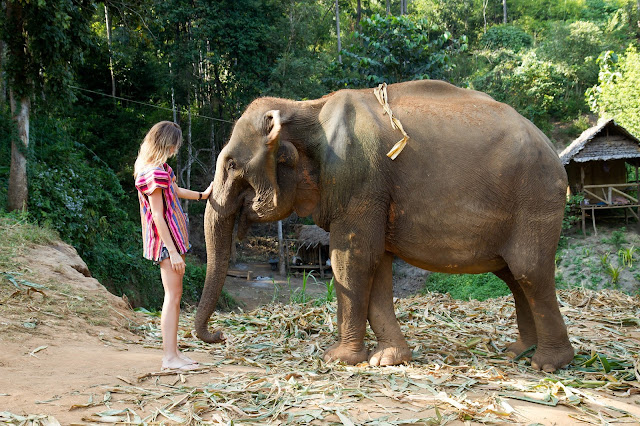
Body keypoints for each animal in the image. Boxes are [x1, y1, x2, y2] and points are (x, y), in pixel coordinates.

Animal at [196, 80, 576, 372]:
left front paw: (338, 359)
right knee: (513, 275)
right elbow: (376, 265)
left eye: (231, 165)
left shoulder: (358, 181)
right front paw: (388, 359)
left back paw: (548, 364)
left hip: (536, 198)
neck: (305, 108)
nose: (220, 336)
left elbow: (350, 260)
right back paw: (517, 352)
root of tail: (552, 150)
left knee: (529, 270)